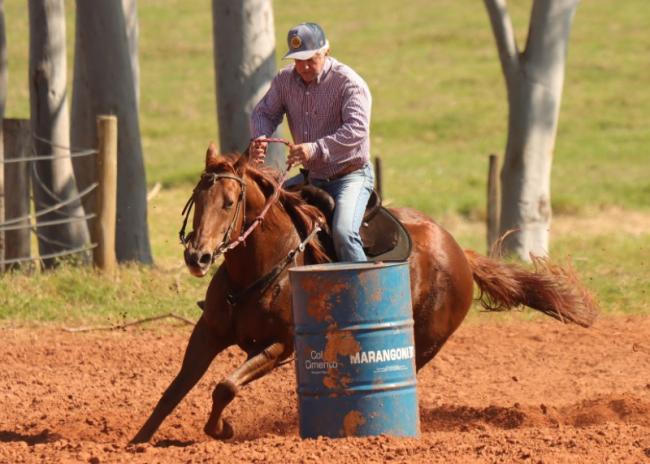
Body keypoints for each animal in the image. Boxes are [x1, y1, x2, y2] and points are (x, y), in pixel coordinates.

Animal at [131, 144, 598, 443]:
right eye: (198, 196)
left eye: (230, 202)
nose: (198, 256)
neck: (263, 265)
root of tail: (460, 253)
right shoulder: (207, 333)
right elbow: (176, 388)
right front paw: (138, 440)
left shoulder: (280, 345)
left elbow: (225, 387)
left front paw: (222, 430)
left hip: (426, 342)